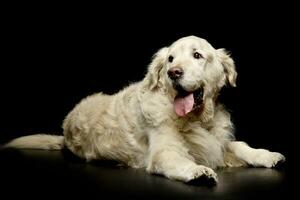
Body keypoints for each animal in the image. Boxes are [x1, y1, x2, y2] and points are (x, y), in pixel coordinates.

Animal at [5, 36, 286, 184]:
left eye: (197, 55)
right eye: (170, 59)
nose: (174, 73)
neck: (197, 120)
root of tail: (65, 132)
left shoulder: (215, 141)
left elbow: (239, 145)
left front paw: (266, 155)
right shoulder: (164, 152)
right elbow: (180, 160)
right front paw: (199, 172)